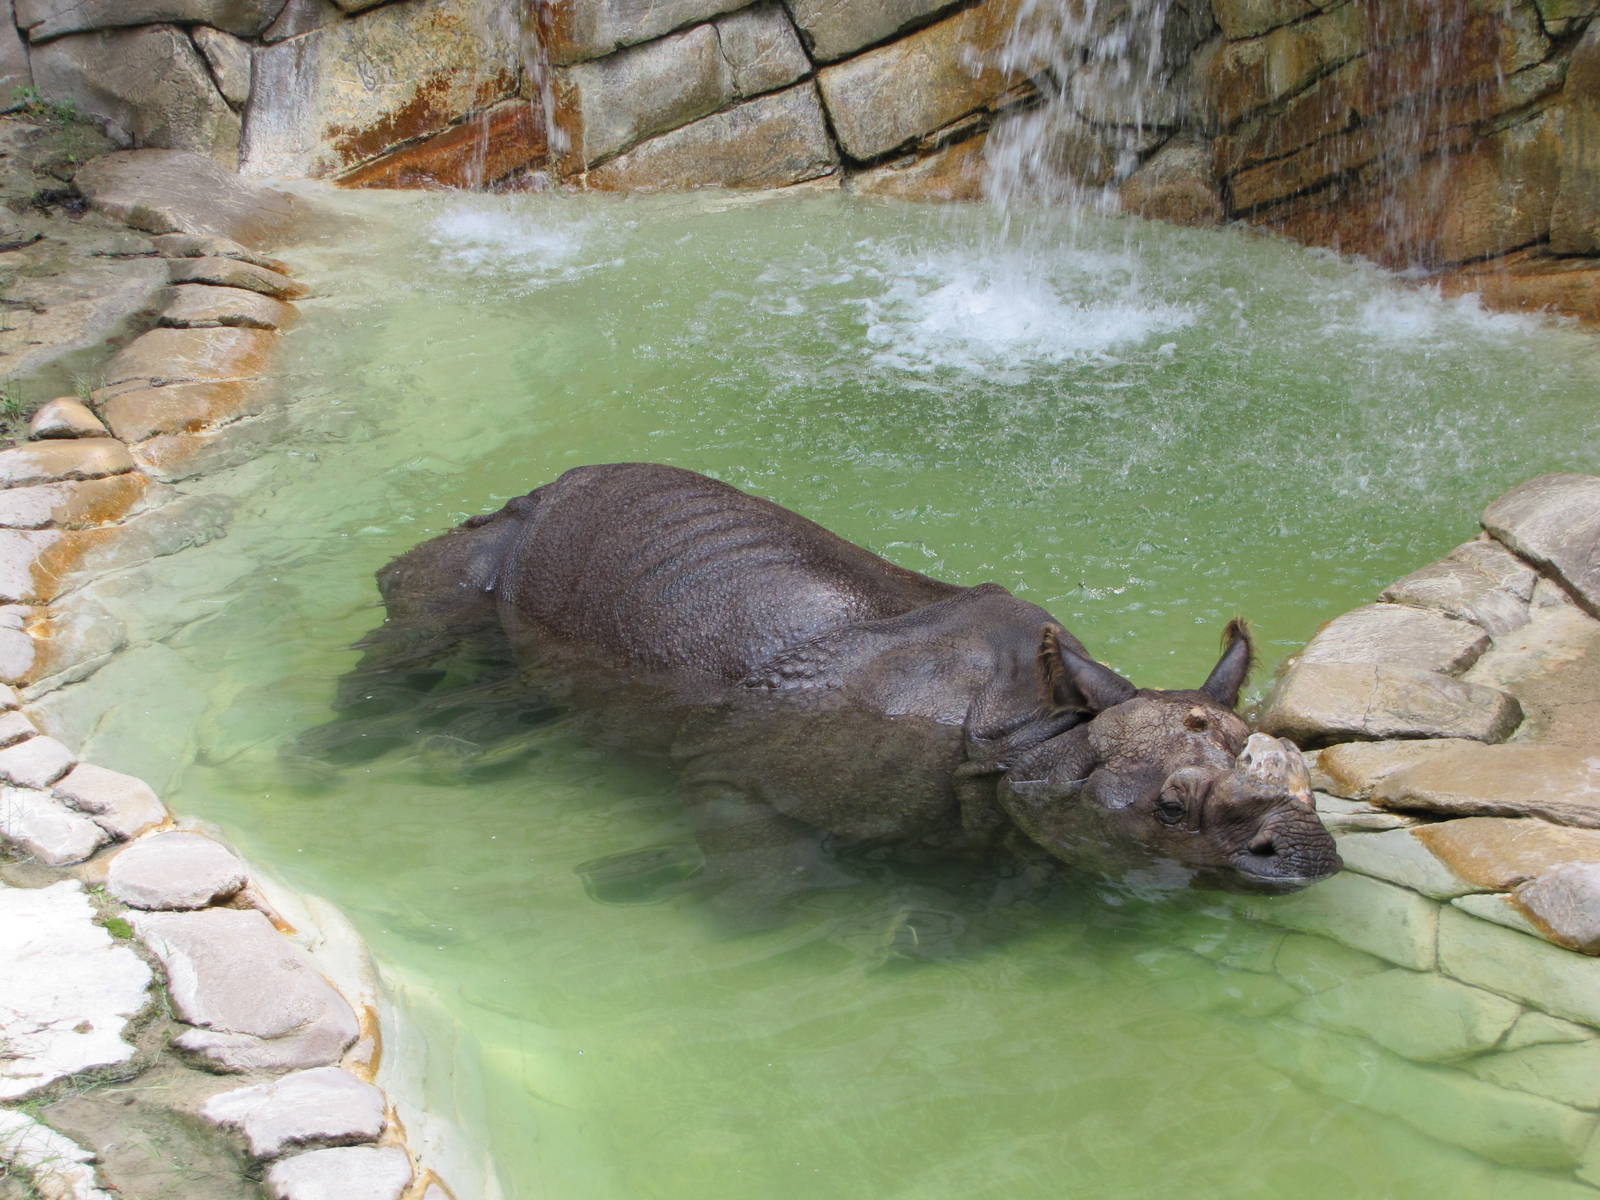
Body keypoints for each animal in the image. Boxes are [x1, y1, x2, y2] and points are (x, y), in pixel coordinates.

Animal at [345, 463, 1340, 919]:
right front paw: (648, 880)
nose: (1310, 859)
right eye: (1169, 809)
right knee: (435, 611)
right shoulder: (732, 770)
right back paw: (335, 755)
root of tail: (542, 484)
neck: (1039, 729)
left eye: (1306, 774)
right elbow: (767, 889)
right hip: (510, 541)